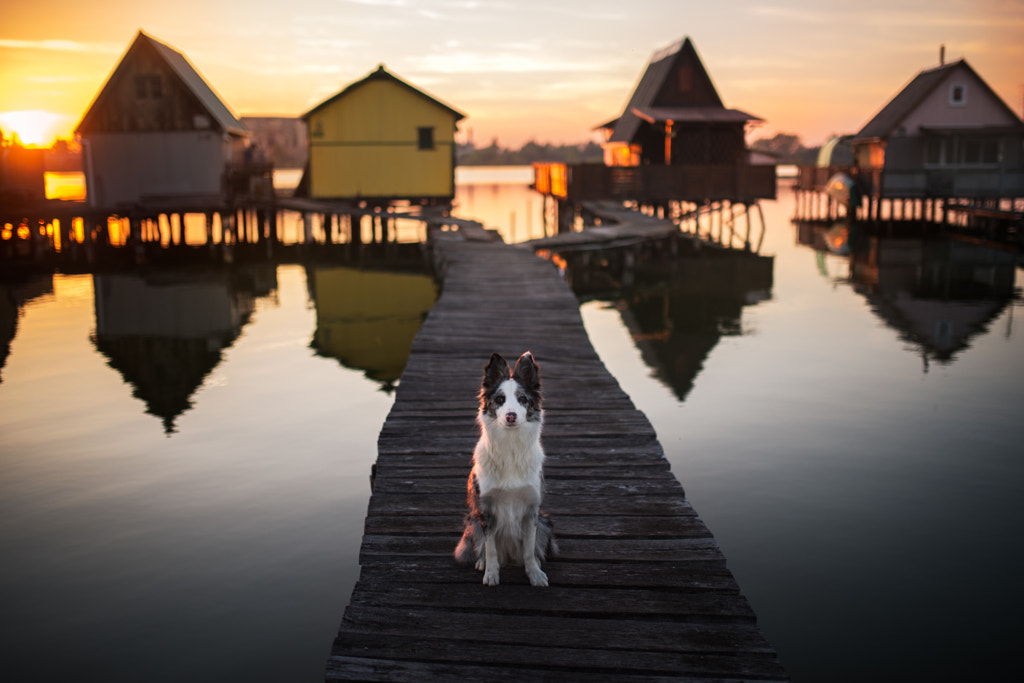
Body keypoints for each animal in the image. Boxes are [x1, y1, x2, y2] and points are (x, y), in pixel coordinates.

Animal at [454, 352, 557, 589]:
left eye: (523, 399)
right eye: (500, 399)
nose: (511, 416)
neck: (510, 447)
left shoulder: (532, 509)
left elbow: (529, 548)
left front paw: (534, 573)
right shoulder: (485, 509)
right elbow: (491, 548)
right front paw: (491, 573)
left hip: (545, 522)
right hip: (472, 520)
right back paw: (482, 562)